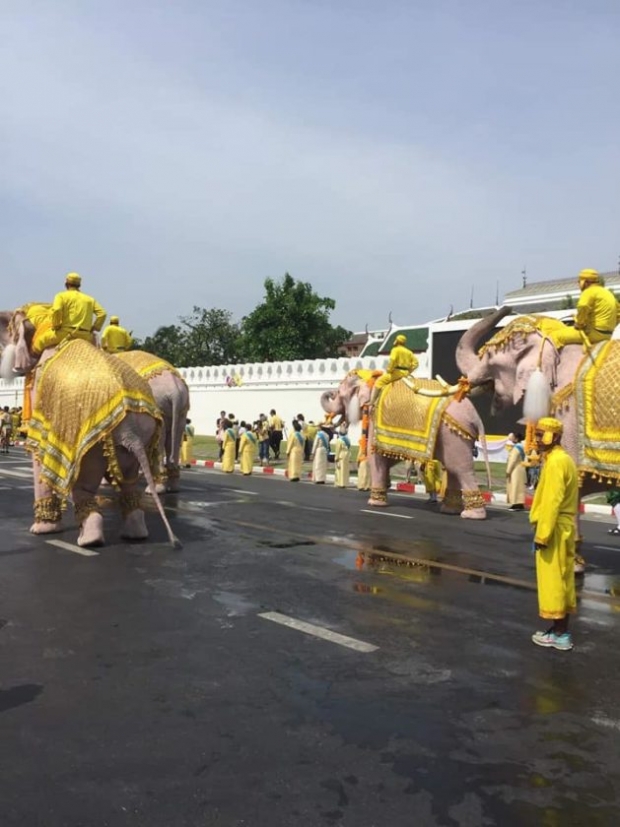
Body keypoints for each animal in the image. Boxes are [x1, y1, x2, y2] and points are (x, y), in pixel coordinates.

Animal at [0, 314, 179, 548]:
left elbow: (39, 455)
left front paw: (41, 531)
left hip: (93, 441)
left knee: (83, 484)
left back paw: (88, 540)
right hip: (142, 429)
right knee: (129, 481)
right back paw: (135, 534)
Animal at [320, 374, 490, 516]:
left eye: (340, 393)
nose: (331, 392)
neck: (372, 380)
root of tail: (476, 417)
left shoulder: (375, 416)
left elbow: (374, 455)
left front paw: (375, 503)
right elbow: (389, 455)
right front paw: (387, 485)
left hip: (452, 435)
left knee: (460, 468)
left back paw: (472, 515)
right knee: (452, 469)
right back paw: (450, 510)